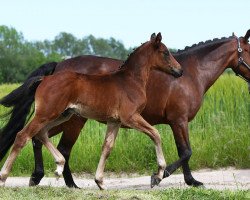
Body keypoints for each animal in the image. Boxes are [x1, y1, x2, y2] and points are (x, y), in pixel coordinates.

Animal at [0, 30, 250, 188]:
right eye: (248, 51)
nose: (178, 71)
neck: (193, 73)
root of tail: (56, 68)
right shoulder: (176, 120)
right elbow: (184, 150)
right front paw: (160, 176)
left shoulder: (136, 121)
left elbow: (183, 151)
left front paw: (189, 181)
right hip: (70, 119)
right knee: (46, 141)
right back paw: (58, 181)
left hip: (64, 116)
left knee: (40, 138)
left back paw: (44, 177)